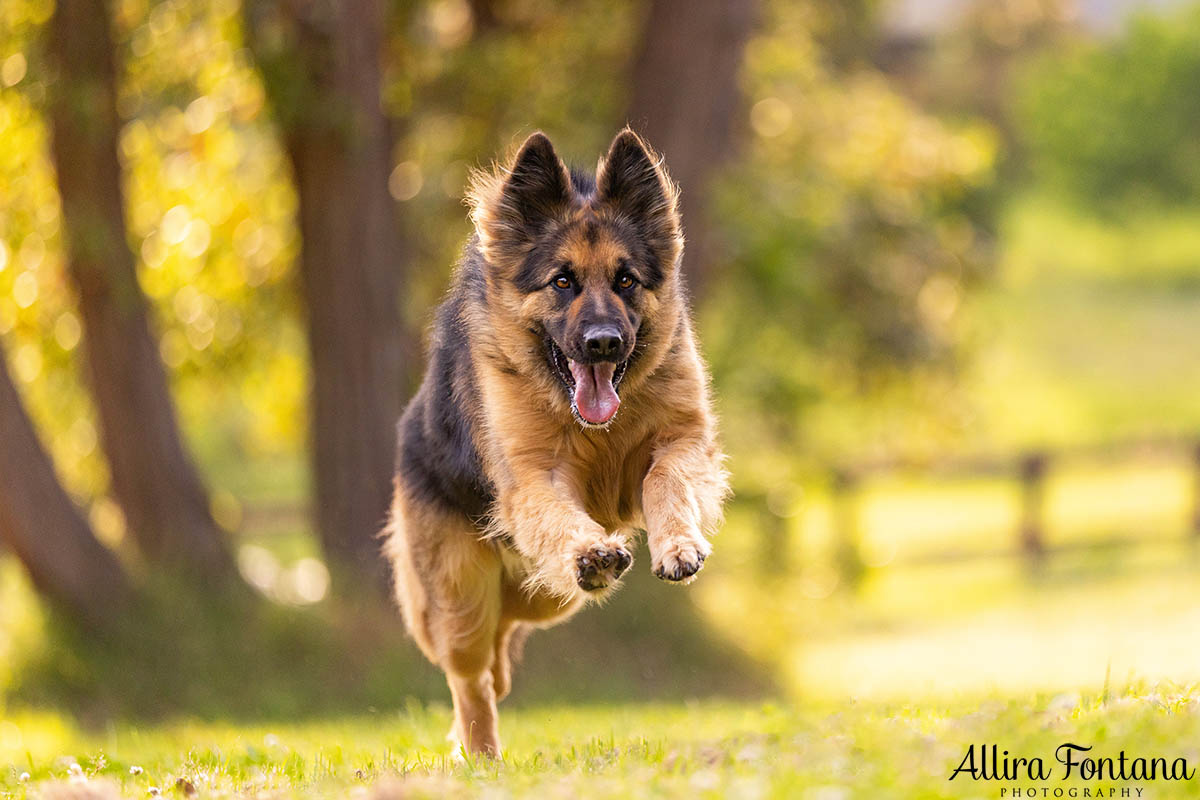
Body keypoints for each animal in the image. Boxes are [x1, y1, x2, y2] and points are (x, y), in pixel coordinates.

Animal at [381, 128, 729, 753]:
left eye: (625, 280)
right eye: (562, 281)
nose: (604, 343)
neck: (595, 427)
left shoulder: (683, 439)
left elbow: (666, 478)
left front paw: (678, 547)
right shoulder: (533, 478)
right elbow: (560, 517)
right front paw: (590, 549)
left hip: (547, 598)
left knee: (505, 649)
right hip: (462, 602)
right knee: (471, 680)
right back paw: (480, 755)